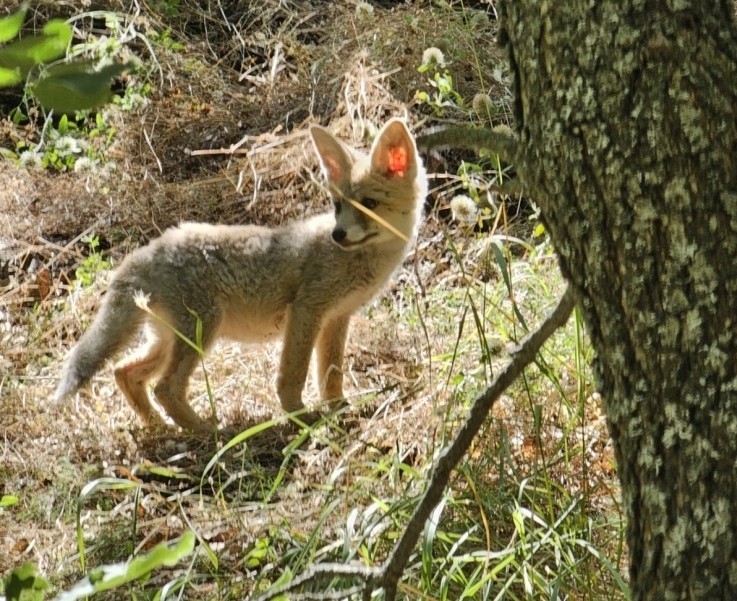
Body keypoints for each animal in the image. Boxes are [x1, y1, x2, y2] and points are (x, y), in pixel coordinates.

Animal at [53, 118, 426, 432]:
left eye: (369, 204)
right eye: (338, 206)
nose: (338, 235)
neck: (361, 263)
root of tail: (145, 251)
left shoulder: (337, 317)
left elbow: (330, 376)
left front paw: (339, 410)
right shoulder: (307, 310)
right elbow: (292, 375)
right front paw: (301, 417)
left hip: (169, 340)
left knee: (125, 373)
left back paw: (159, 427)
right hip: (202, 332)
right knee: (165, 388)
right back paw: (208, 432)